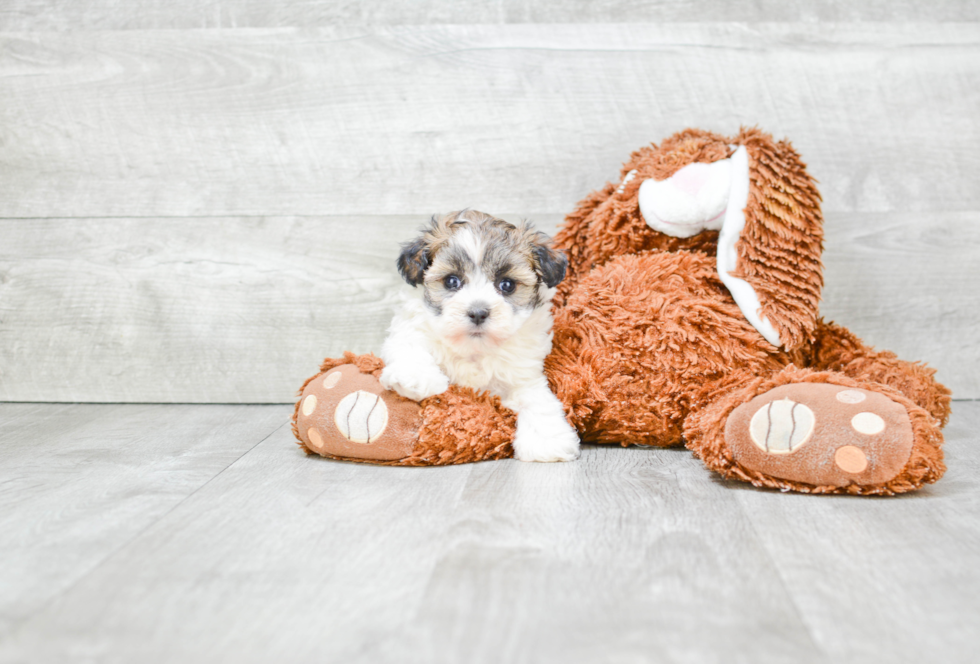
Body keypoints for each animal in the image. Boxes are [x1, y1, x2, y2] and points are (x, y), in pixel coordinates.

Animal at [380, 211, 580, 462]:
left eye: (507, 284)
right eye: (451, 281)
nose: (477, 312)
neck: (474, 349)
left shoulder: (523, 373)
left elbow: (536, 398)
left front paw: (547, 440)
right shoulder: (411, 328)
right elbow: (410, 345)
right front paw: (416, 378)